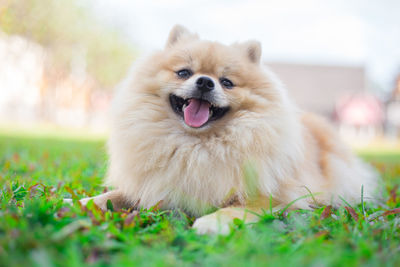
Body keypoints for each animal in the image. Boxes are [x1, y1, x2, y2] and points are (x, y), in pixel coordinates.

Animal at [80, 25, 378, 234]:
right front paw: (84, 203)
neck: (195, 145)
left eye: (227, 82)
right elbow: (115, 195)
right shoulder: (153, 184)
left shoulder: (277, 197)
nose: (205, 82)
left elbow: (238, 209)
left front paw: (212, 223)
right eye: (183, 72)